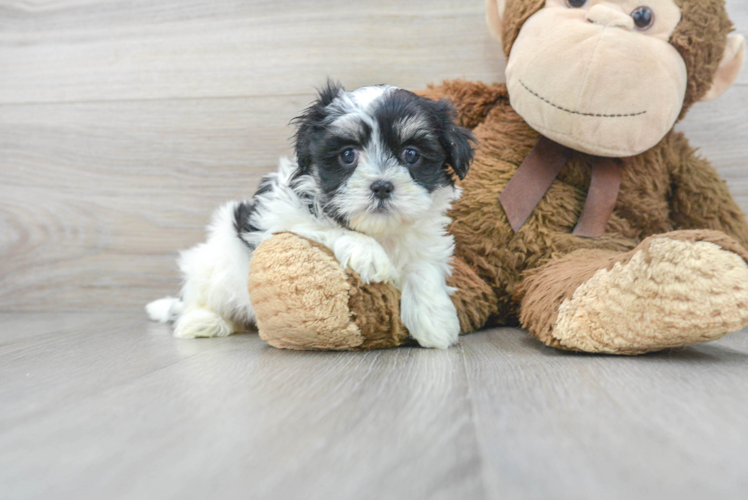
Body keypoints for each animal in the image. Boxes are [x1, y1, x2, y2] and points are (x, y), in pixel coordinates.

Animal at [146, 83, 474, 348]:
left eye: (412, 155)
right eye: (347, 155)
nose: (381, 186)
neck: (379, 231)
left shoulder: (425, 239)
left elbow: (423, 267)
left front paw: (435, 322)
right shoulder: (276, 216)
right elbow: (322, 225)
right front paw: (367, 253)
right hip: (215, 264)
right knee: (201, 296)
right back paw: (202, 321)